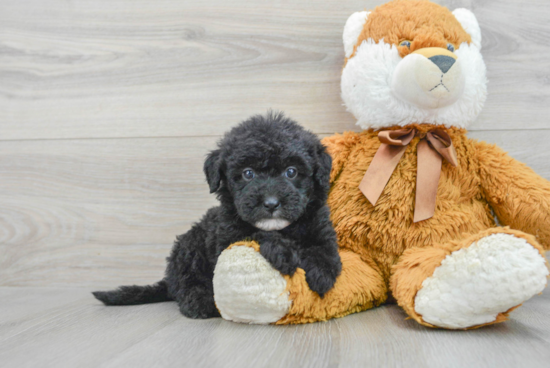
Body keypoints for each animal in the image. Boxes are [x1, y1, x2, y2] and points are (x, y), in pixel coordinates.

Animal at [95, 112, 344, 320]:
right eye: (248, 174)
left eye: (291, 171)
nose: (271, 203)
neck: (283, 228)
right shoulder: (227, 236)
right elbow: (256, 233)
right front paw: (283, 251)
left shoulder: (320, 225)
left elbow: (323, 248)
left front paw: (321, 273)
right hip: (189, 249)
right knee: (187, 282)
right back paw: (200, 302)